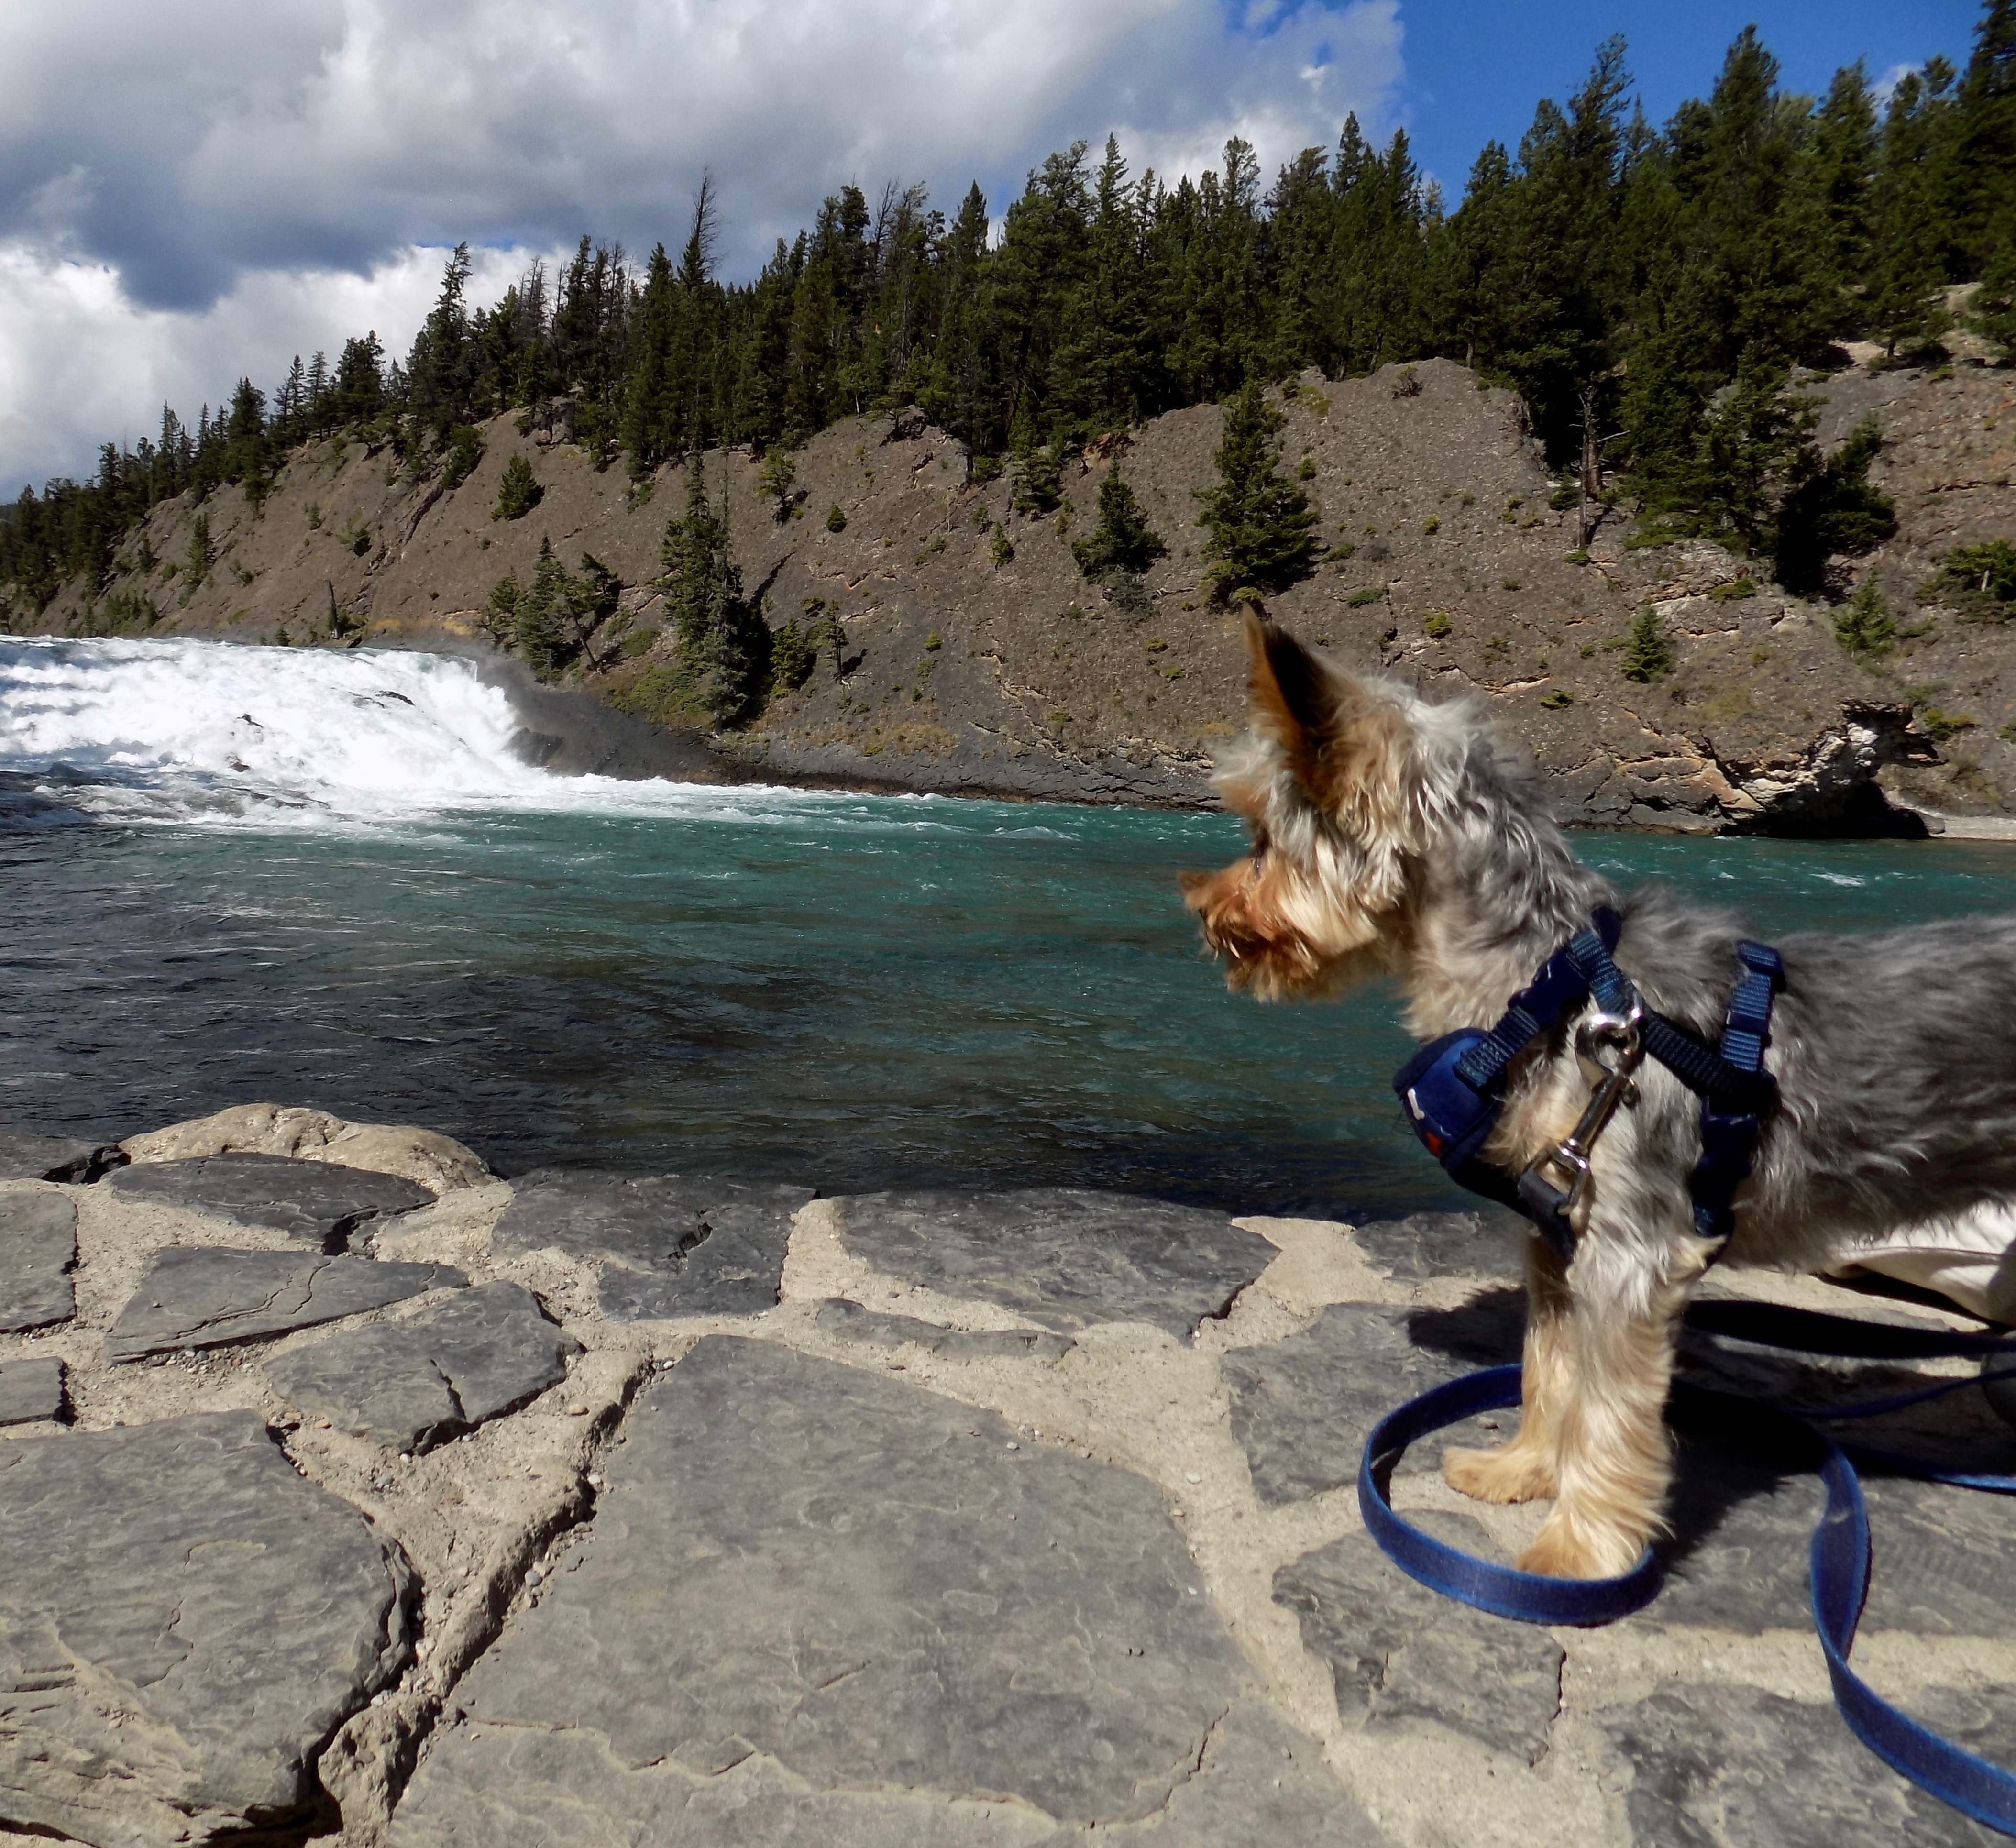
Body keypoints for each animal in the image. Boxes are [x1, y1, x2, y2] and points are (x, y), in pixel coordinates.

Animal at [1184, 614, 2016, 1578]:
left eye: (1260, 836)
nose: (1201, 904)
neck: (1548, 988)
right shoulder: (1557, 1232)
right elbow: (1550, 1369)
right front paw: (1518, 1471)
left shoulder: (1630, 1251)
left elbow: (1607, 1410)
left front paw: (1578, 1552)